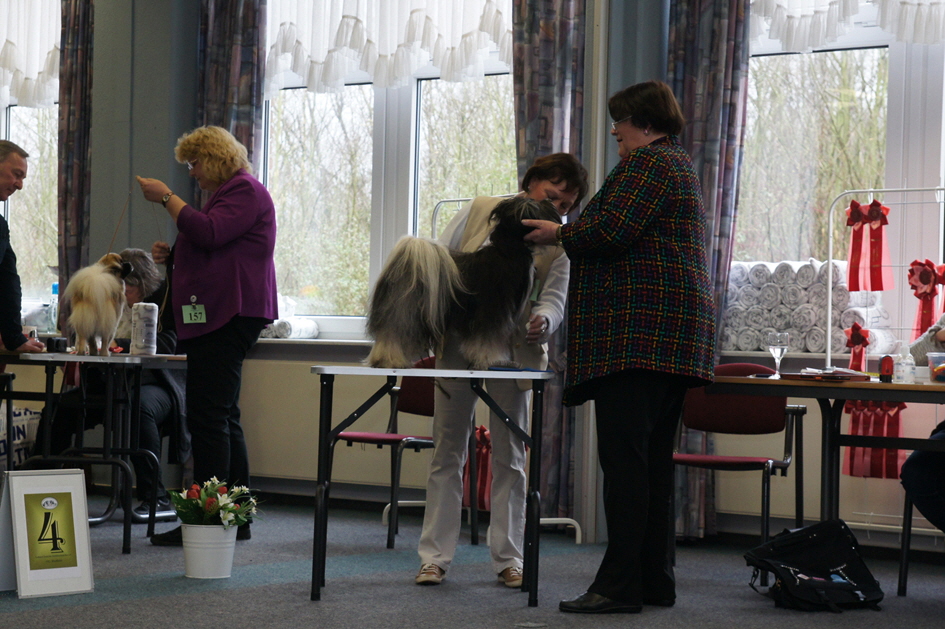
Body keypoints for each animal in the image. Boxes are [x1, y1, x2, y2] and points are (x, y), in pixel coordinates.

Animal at [366, 197, 560, 368]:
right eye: (534, 206)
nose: (550, 202)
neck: (507, 251)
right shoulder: (491, 313)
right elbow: (487, 340)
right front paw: (490, 360)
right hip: (402, 308)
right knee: (392, 333)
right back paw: (387, 360)